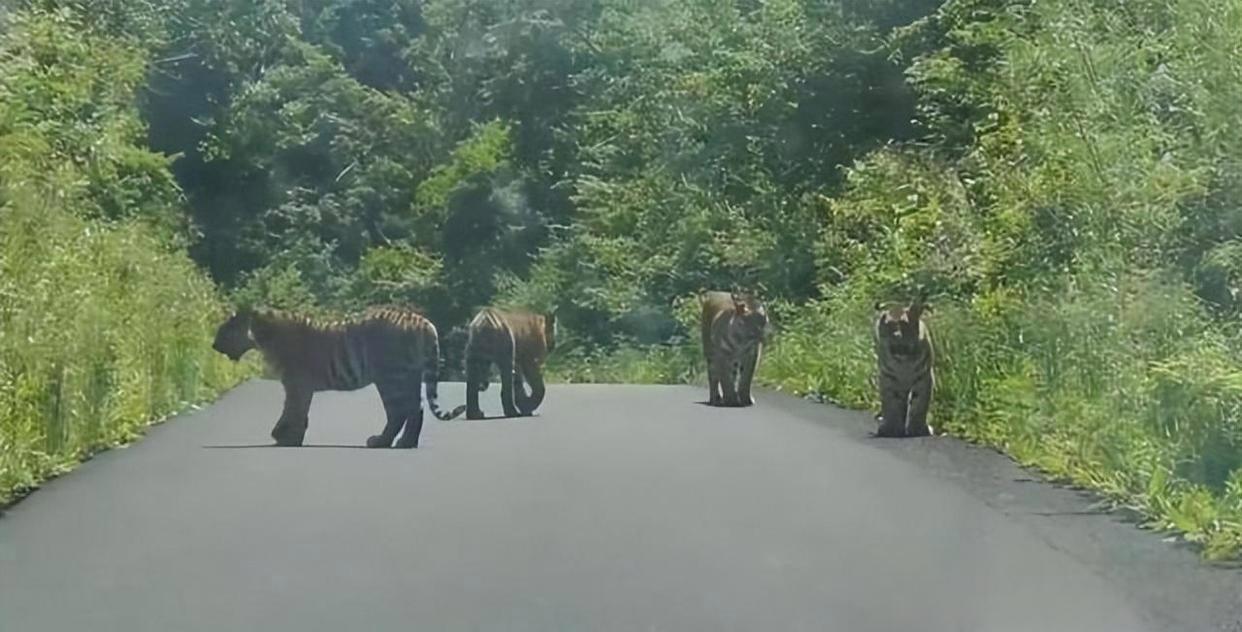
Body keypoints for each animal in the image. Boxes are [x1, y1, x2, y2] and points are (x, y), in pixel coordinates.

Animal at [213, 305, 466, 449]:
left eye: (224, 330)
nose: (213, 345)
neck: (262, 336)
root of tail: (425, 323)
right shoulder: (299, 385)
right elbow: (298, 411)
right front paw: (289, 435)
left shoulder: (296, 382)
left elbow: (293, 409)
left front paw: (286, 437)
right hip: (409, 375)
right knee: (417, 409)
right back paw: (406, 443)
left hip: (390, 377)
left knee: (400, 412)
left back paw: (381, 442)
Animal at [874, 297, 933, 437]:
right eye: (888, 324)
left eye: (904, 323)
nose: (896, 335)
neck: (903, 363)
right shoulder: (888, 379)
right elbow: (891, 405)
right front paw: (891, 428)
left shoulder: (923, 379)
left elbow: (919, 405)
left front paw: (917, 429)